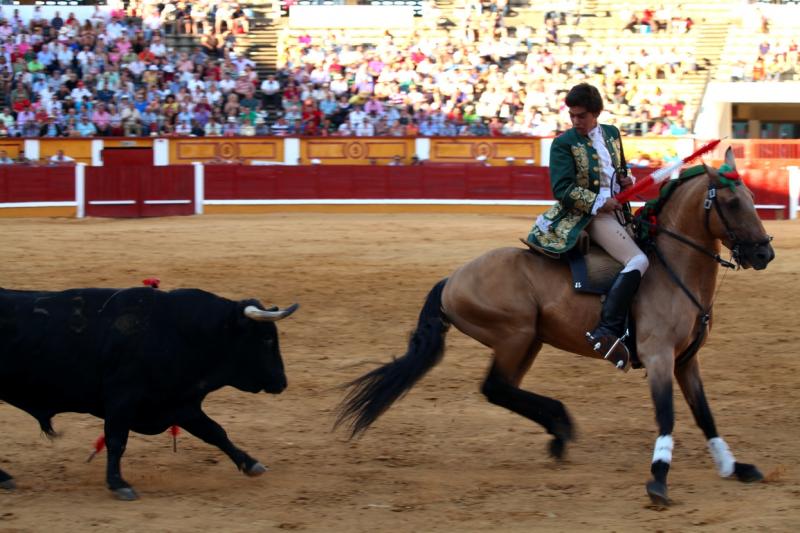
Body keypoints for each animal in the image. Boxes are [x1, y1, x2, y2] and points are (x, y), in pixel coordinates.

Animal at [0, 286, 296, 498]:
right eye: (266, 339)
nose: (282, 382)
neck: (180, 332)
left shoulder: (180, 402)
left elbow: (215, 432)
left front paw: (251, 464)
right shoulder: (122, 399)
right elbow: (116, 440)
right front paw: (118, 483)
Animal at [336, 148, 776, 504]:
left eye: (754, 199)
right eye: (732, 202)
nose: (764, 253)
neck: (674, 269)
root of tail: (452, 279)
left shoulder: (686, 360)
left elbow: (705, 414)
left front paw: (733, 466)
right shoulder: (658, 357)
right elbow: (667, 414)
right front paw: (658, 480)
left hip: (529, 340)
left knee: (503, 388)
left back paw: (558, 428)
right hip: (514, 336)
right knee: (494, 387)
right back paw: (560, 423)